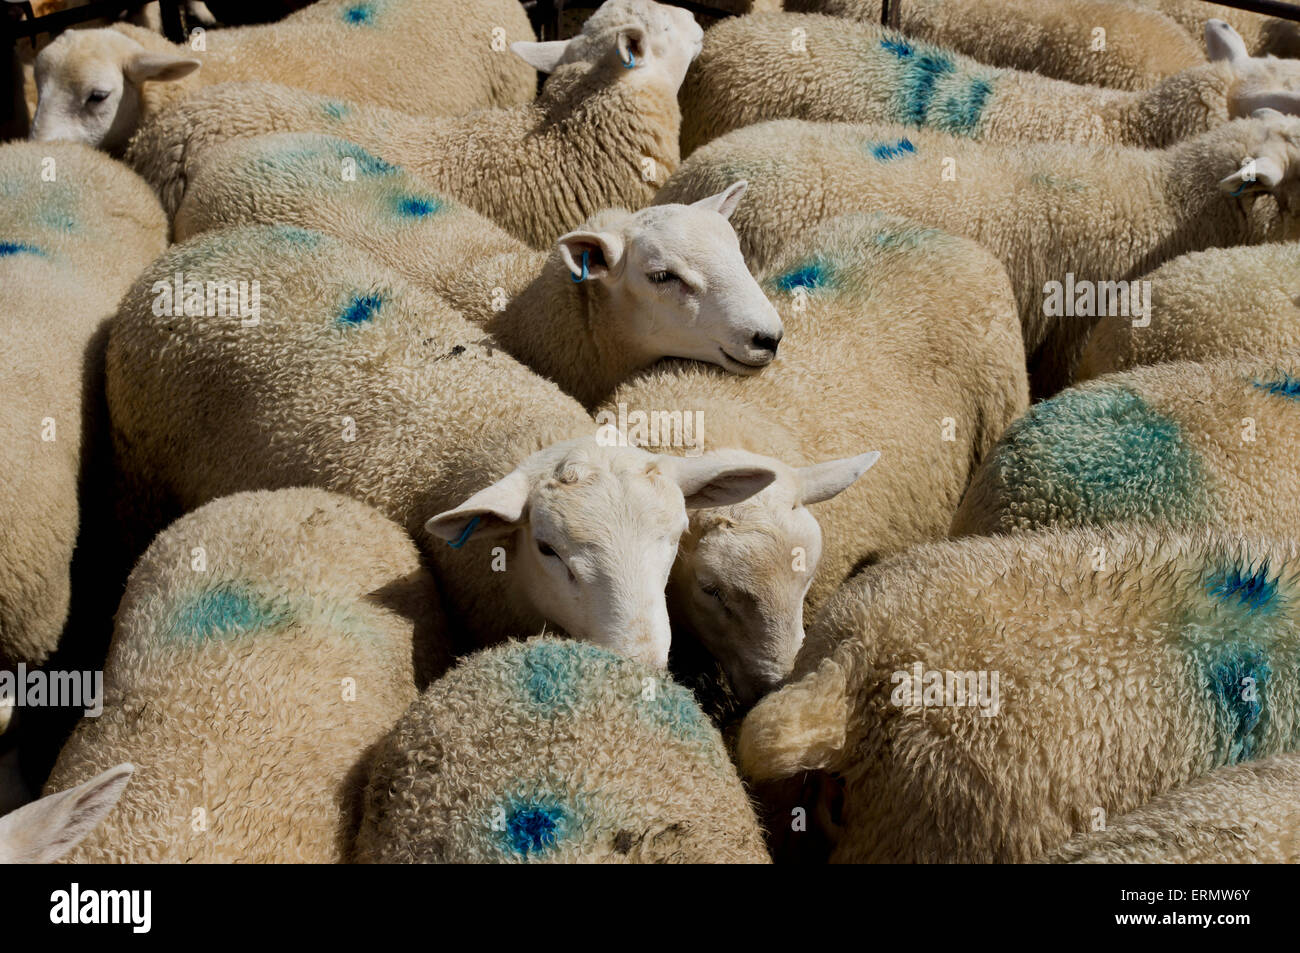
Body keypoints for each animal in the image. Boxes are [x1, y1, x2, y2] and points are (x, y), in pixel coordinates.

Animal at [106, 225, 778, 669]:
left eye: (674, 538)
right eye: (548, 549)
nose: (641, 664)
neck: (514, 429)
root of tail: (193, 248)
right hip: (141, 475)